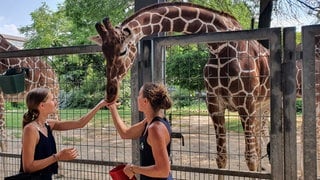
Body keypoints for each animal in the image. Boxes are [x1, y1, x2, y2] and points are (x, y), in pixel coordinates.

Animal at [91, 2, 306, 172]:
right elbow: (221, 159)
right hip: (262, 105)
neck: (219, 47)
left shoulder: (245, 103)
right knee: (262, 139)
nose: (110, 93)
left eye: (123, 51)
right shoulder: (214, 103)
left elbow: (249, 160)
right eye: (103, 51)